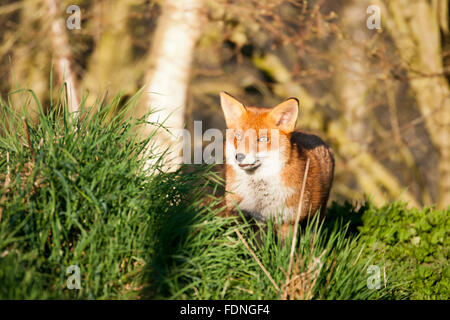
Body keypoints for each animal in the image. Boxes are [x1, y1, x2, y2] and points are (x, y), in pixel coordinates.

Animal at [221, 91, 334, 236]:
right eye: (238, 137)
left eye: (262, 139)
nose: (239, 156)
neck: (259, 197)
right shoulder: (246, 216)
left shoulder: (288, 221)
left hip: (315, 219)